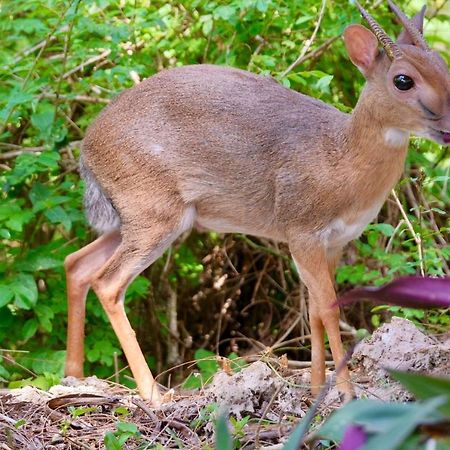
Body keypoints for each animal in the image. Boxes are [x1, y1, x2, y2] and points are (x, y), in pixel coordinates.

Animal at [63, 0, 450, 408]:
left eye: (443, 66)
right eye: (403, 80)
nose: (447, 126)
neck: (340, 155)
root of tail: (88, 148)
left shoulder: (333, 242)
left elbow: (314, 311)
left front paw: (316, 390)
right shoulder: (303, 232)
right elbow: (329, 308)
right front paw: (344, 393)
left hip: (133, 219)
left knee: (77, 264)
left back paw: (74, 376)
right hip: (155, 215)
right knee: (107, 283)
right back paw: (154, 393)